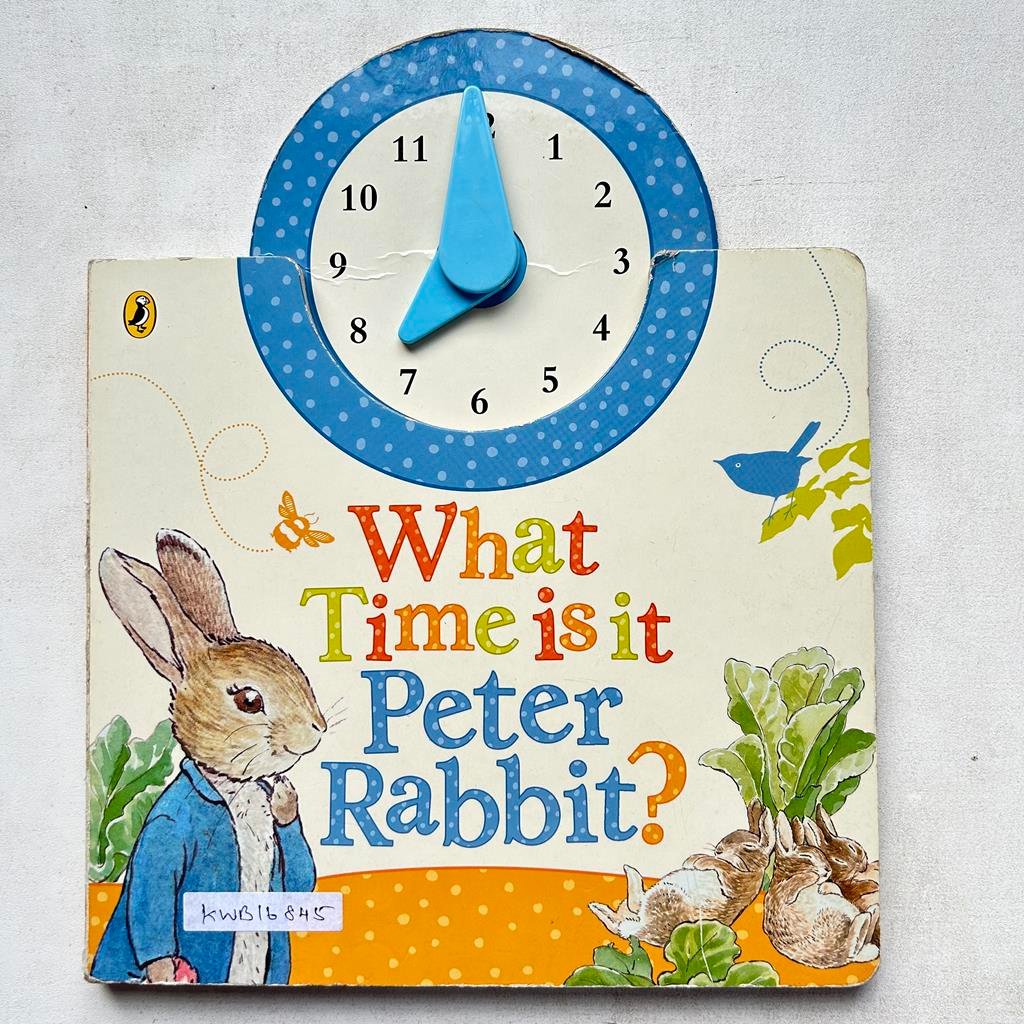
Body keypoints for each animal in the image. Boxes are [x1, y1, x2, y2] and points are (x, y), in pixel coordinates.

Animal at [89, 530, 327, 986]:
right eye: (249, 700)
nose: (316, 731)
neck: (232, 789)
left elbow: (300, 877)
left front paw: (284, 797)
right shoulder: (167, 828)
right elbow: (153, 889)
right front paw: (165, 970)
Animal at [589, 801, 774, 946]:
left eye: (748, 847)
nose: (718, 850)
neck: (755, 869)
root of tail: (644, 931)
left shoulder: (735, 881)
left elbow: (721, 865)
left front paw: (696, 860)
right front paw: (693, 858)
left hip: (664, 894)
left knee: (633, 907)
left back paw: (626, 877)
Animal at [764, 813, 879, 968]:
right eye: (807, 857)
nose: (827, 869)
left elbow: (828, 887)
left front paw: (829, 888)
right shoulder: (783, 892)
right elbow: (799, 881)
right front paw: (813, 876)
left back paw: (872, 911)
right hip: (832, 921)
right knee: (852, 941)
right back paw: (867, 915)